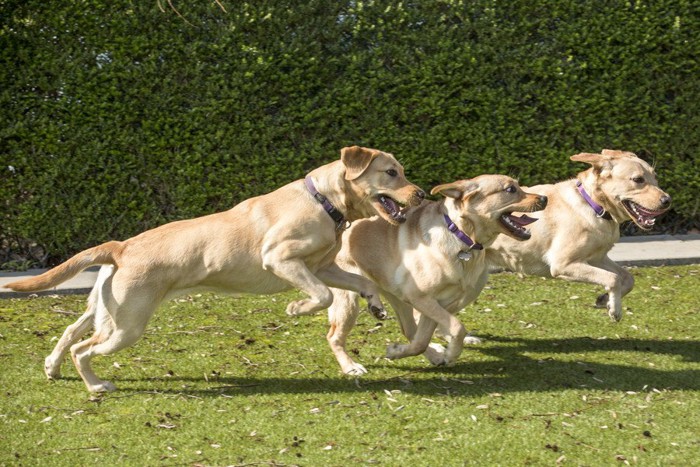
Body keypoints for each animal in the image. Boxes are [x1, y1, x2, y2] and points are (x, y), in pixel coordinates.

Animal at [4, 145, 426, 392]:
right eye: (391, 173)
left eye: (402, 172)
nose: (421, 194)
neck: (325, 201)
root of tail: (121, 247)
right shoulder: (281, 259)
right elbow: (321, 297)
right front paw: (296, 308)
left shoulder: (322, 267)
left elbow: (360, 282)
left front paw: (376, 305)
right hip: (126, 325)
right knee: (82, 348)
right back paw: (95, 386)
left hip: (106, 310)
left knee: (69, 332)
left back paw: (52, 367)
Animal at [322, 176, 548, 376]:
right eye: (511, 189)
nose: (545, 198)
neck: (461, 236)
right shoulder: (421, 298)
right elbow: (457, 327)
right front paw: (451, 354)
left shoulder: (434, 302)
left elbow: (421, 341)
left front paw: (397, 351)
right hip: (348, 300)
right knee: (333, 336)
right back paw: (350, 366)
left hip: (400, 297)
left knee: (410, 331)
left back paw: (432, 353)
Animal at [486, 150, 672, 322]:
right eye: (638, 179)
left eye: (655, 177)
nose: (667, 200)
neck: (594, 206)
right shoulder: (564, 264)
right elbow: (613, 278)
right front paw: (615, 309)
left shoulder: (597, 258)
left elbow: (627, 277)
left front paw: (605, 299)